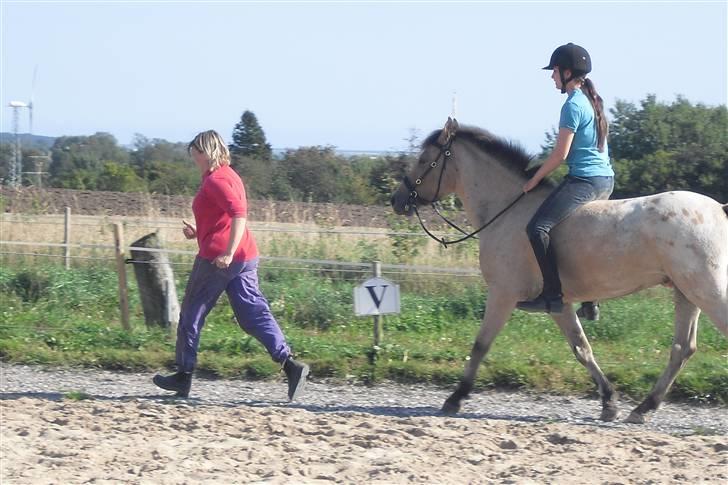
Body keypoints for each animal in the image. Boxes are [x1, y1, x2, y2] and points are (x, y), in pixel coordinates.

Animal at [390, 118, 728, 424]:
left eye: (424, 160)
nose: (397, 200)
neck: (507, 212)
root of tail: (718, 209)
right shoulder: (560, 304)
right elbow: (582, 348)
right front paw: (609, 402)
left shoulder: (502, 294)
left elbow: (481, 345)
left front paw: (455, 398)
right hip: (686, 293)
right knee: (682, 348)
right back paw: (643, 408)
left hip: (706, 290)